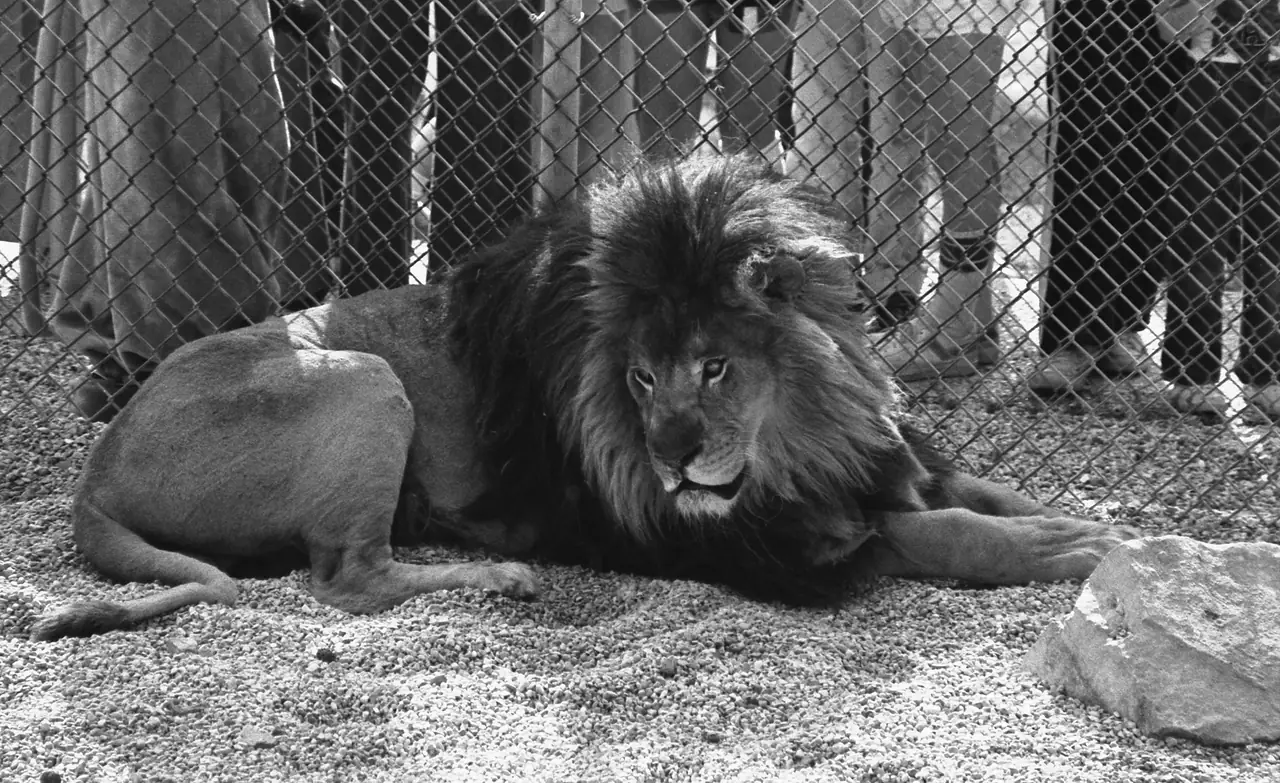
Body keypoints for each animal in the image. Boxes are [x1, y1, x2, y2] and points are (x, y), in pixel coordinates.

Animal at [30, 154, 1138, 640]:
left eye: (715, 366)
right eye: (640, 377)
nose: (671, 459)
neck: (807, 432)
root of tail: (97, 468)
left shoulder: (880, 461)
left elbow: (989, 496)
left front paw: (1097, 525)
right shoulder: (732, 533)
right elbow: (943, 533)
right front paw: (1066, 549)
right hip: (364, 380)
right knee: (348, 580)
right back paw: (496, 579)